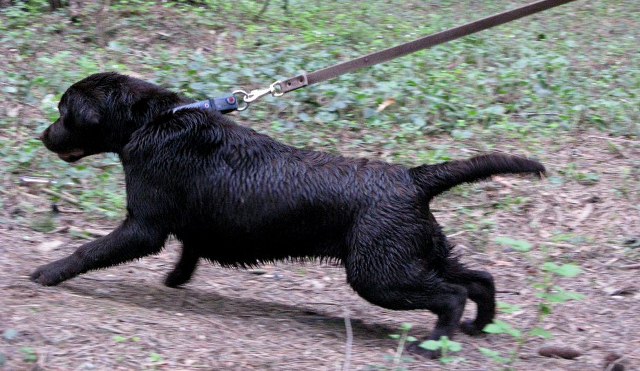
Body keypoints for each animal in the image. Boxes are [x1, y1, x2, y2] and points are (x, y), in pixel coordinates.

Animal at [32, 72, 544, 358]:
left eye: (64, 110)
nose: (42, 135)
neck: (153, 122)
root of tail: (414, 178)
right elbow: (189, 248)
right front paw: (177, 279)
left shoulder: (143, 226)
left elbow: (90, 249)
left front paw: (48, 272)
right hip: (413, 253)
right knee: (479, 279)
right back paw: (478, 327)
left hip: (379, 272)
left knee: (452, 294)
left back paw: (434, 347)